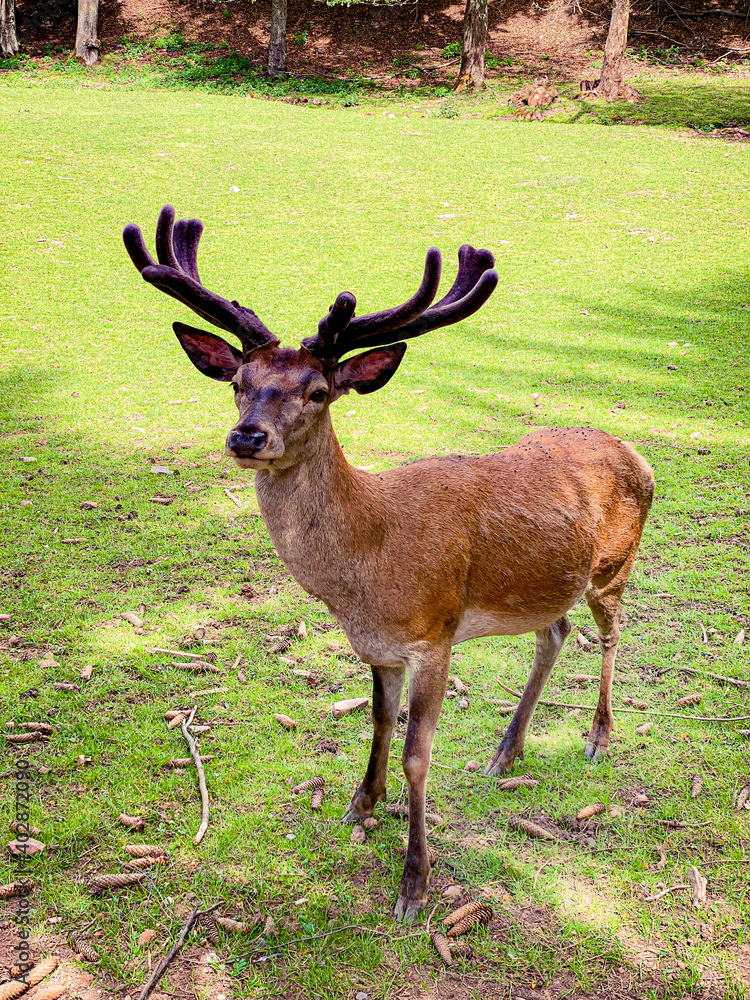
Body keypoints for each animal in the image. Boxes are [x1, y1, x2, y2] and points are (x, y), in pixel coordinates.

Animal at [123, 206, 655, 923]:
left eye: (319, 391)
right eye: (238, 384)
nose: (247, 437)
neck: (367, 567)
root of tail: (635, 452)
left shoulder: (435, 633)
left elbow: (416, 755)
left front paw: (414, 882)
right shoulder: (376, 644)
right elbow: (377, 718)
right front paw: (360, 804)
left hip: (613, 566)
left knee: (610, 632)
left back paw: (598, 737)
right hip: (545, 581)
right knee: (556, 630)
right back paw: (506, 750)